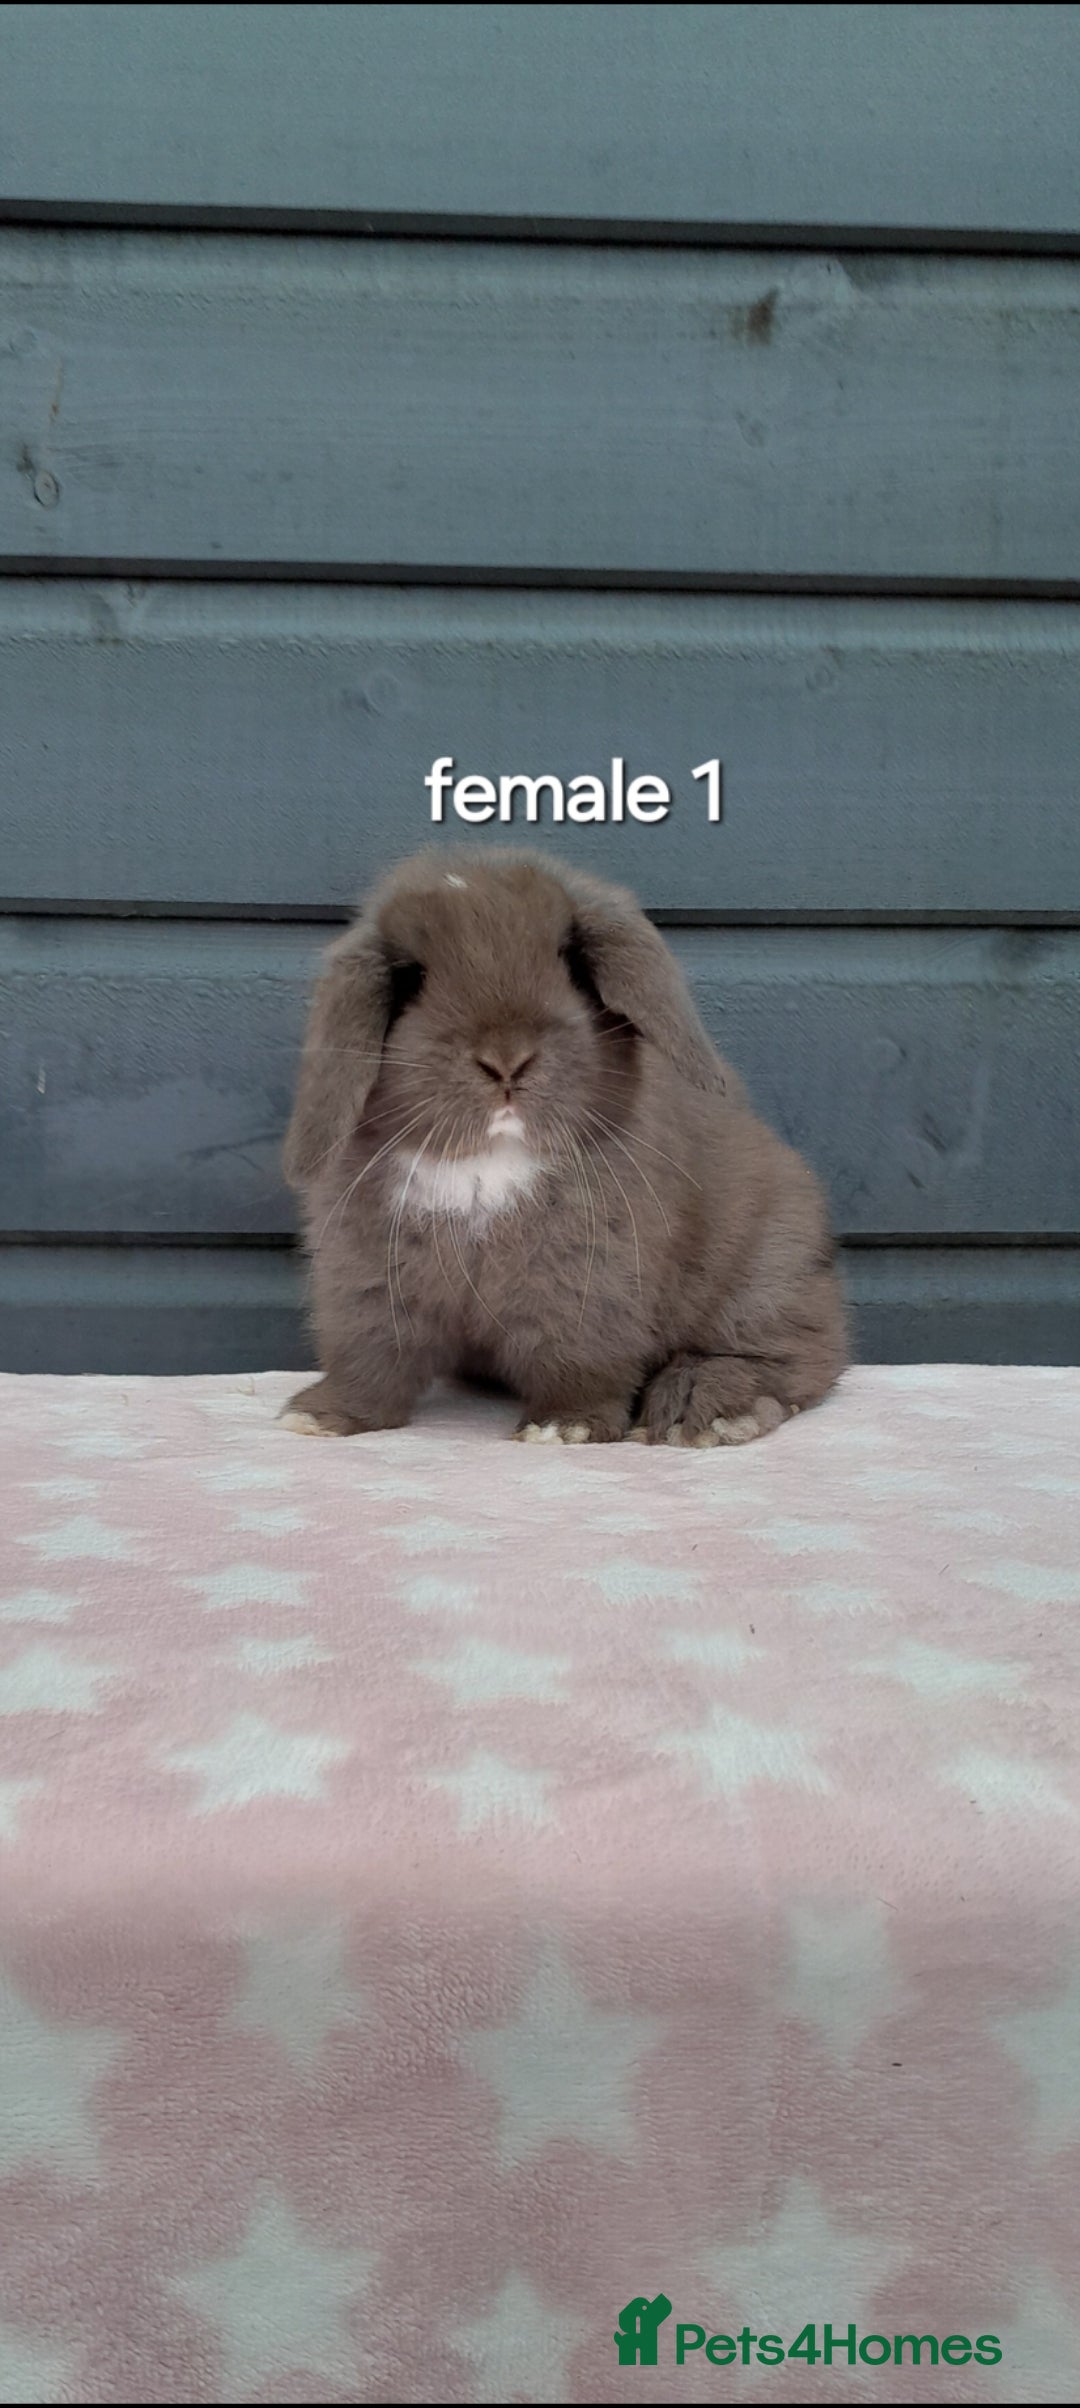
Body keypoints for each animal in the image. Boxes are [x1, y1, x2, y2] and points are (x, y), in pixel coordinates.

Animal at [281, 847, 847, 1446]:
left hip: (767, 1273)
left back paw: (704, 1412)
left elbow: (577, 1360)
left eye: (571, 964)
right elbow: (369, 1359)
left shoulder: (584, 1285)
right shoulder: (367, 1282)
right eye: (411, 979)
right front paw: (319, 1417)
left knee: (793, 1354)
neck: (488, 1165)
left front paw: (562, 1427)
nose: (507, 1060)